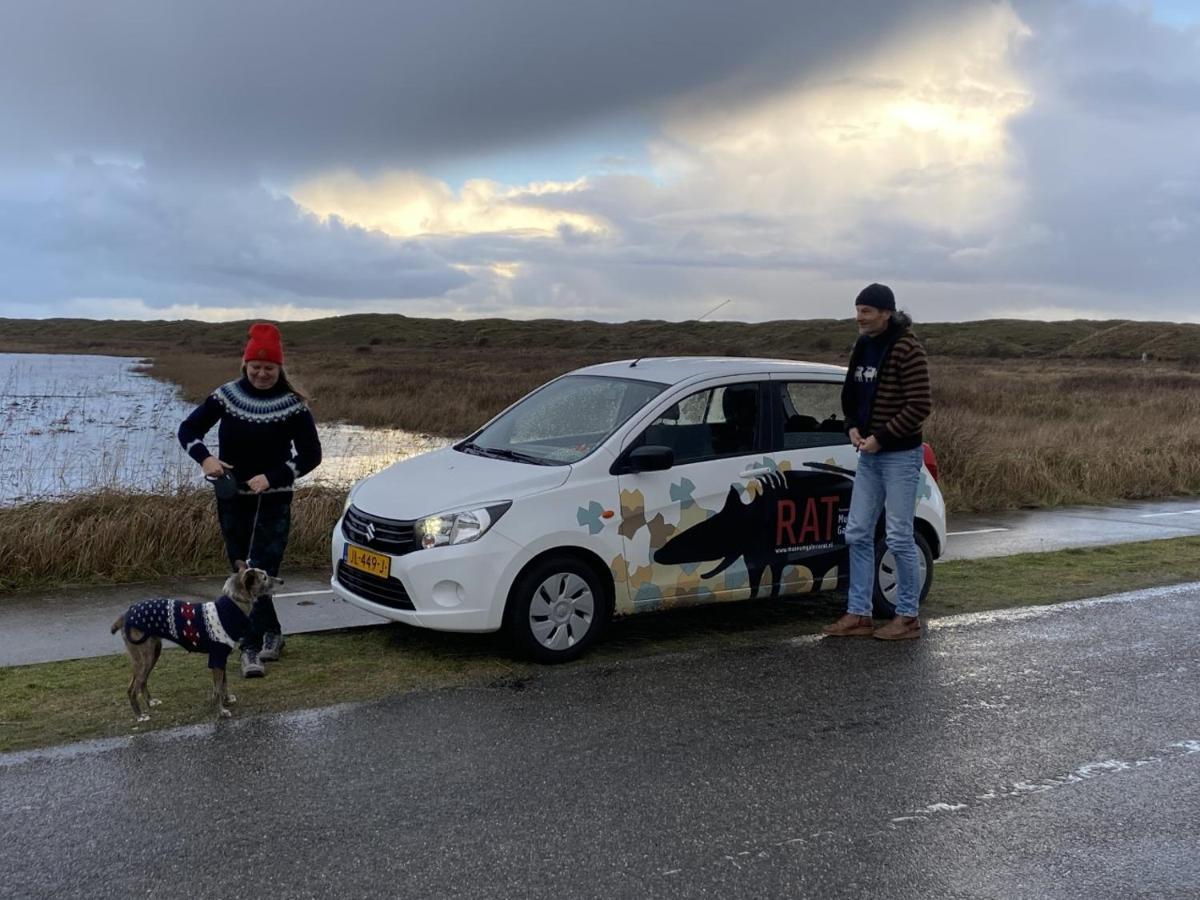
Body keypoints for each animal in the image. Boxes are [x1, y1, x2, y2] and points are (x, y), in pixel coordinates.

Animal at [110, 561, 283, 724]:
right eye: (264, 577)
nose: (281, 581)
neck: (231, 606)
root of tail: (125, 615)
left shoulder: (221, 658)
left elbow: (222, 684)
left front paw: (226, 699)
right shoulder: (217, 657)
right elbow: (218, 688)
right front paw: (221, 711)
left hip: (153, 652)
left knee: (142, 681)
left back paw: (150, 702)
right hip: (144, 656)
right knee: (132, 688)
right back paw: (140, 716)